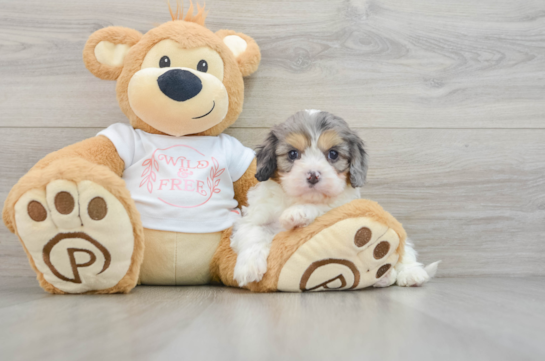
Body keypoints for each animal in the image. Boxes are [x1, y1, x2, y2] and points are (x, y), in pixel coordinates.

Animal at [230, 109, 438, 286]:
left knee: (405, 252)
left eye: (333, 154)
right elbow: (253, 233)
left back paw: (409, 273)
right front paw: (248, 268)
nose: (313, 175)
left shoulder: (343, 204)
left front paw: (297, 213)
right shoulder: (255, 217)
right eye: (293, 154)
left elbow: (324, 207)